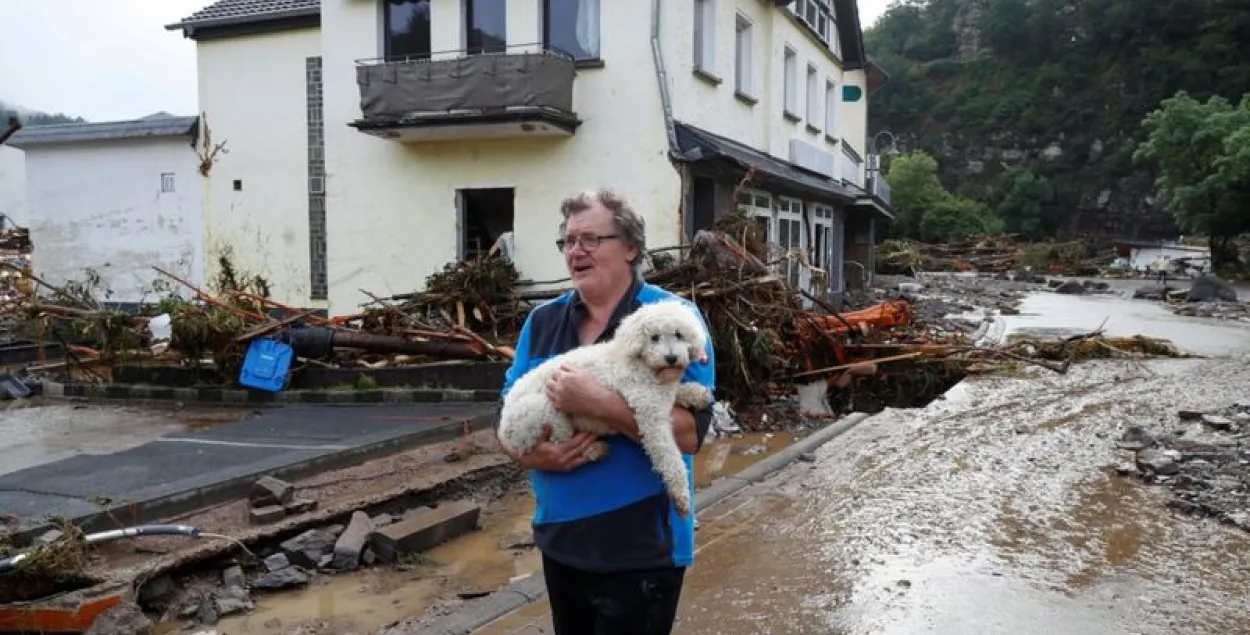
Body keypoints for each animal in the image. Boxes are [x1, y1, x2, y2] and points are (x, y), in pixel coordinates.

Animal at [497, 298, 715, 515]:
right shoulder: (649, 413)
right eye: (654, 338)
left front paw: (698, 394)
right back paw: (593, 449)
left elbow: (677, 391)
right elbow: (668, 456)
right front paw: (681, 495)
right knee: (561, 444)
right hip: (543, 409)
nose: (671, 358)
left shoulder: (660, 393)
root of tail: (505, 430)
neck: (645, 365)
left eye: (679, 335)